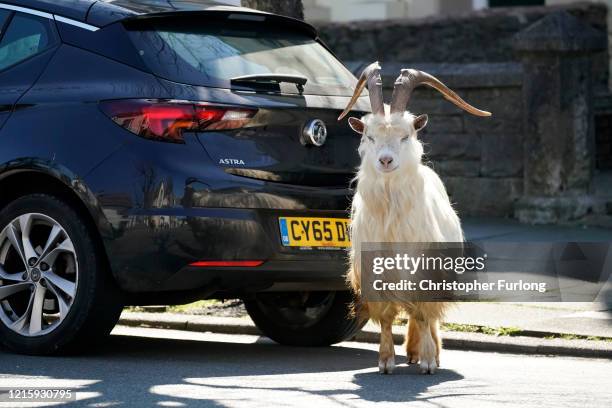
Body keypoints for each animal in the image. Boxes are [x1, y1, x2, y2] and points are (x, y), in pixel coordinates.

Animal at [340, 62, 492, 374]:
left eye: (405, 135)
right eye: (369, 136)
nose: (385, 160)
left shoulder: (425, 269)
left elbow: (423, 314)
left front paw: (428, 360)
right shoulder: (376, 273)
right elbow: (387, 317)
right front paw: (385, 361)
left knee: (426, 315)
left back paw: (427, 351)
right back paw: (410, 351)